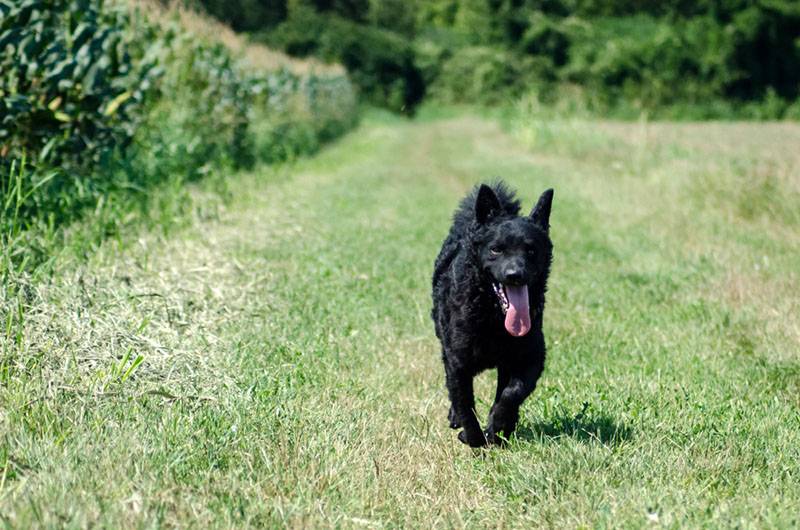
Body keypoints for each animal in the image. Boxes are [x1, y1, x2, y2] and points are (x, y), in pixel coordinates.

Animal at [432, 182, 552, 446]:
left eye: (531, 250)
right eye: (496, 249)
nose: (514, 274)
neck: (493, 317)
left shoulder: (531, 356)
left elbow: (511, 393)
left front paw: (498, 426)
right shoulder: (458, 360)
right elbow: (464, 402)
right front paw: (473, 437)